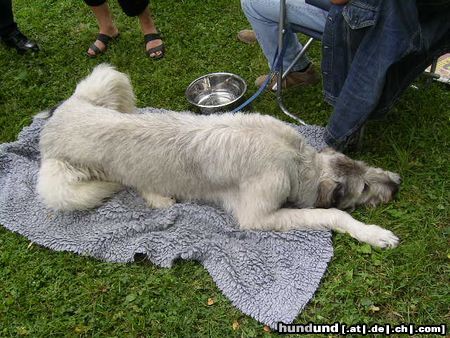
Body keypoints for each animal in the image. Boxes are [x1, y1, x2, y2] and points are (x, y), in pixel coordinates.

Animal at [37, 64, 400, 248]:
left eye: (366, 167)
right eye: (364, 188)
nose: (397, 185)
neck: (295, 160)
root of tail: (55, 118)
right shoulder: (257, 214)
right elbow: (333, 215)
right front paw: (374, 233)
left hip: (110, 78)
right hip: (64, 187)